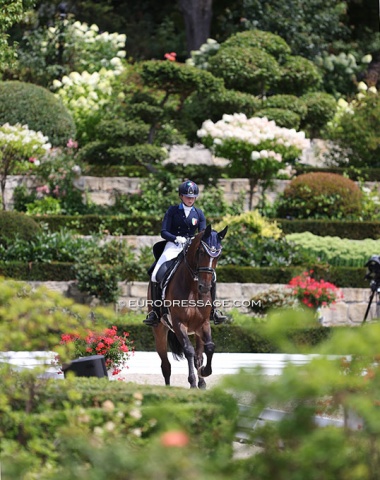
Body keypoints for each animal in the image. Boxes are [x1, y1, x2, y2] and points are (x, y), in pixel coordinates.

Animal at [148, 226, 227, 390]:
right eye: (201, 252)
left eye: (218, 255)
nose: (205, 287)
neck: (193, 288)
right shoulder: (179, 323)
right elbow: (188, 351)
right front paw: (192, 382)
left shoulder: (203, 324)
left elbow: (209, 348)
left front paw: (204, 373)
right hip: (160, 330)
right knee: (166, 364)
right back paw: (168, 388)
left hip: (196, 331)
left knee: (199, 355)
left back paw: (202, 382)